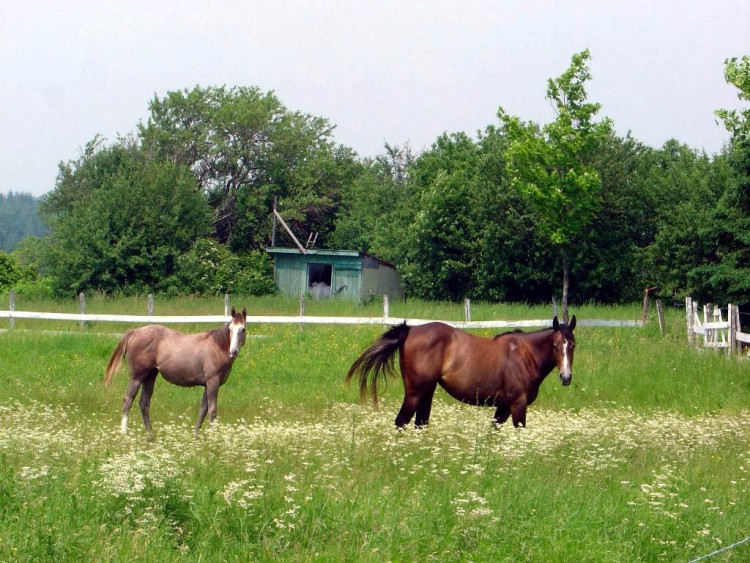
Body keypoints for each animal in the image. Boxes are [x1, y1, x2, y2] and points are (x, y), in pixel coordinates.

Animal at [104, 308, 250, 436]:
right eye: (230, 329)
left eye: (242, 329)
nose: (233, 352)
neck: (217, 347)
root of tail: (135, 331)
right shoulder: (213, 383)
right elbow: (212, 411)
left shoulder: (207, 385)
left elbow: (203, 410)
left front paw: (196, 437)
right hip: (137, 377)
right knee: (128, 400)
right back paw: (124, 434)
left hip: (150, 376)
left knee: (144, 403)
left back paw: (150, 435)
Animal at [350, 318, 580, 428]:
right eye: (556, 345)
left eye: (573, 345)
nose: (566, 377)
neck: (525, 355)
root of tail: (410, 330)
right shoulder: (517, 405)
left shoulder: (503, 407)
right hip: (415, 393)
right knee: (401, 422)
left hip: (427, 392)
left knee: (420, 423)